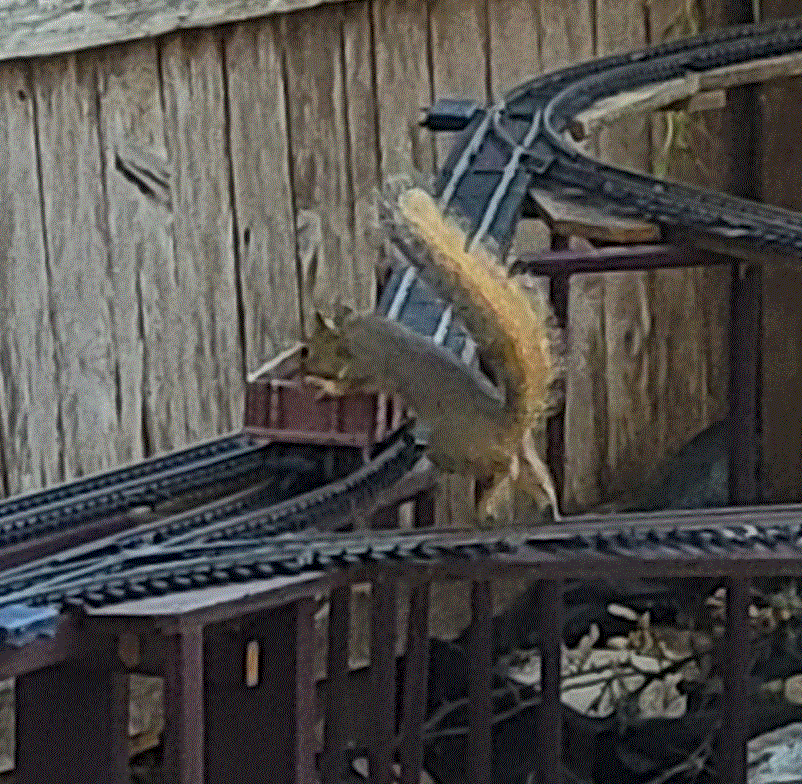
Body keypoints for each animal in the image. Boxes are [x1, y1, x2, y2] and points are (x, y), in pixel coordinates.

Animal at [303, 184, 562, 525]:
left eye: (308, 349)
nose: (302, 366)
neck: (350, 334)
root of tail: (509, 422)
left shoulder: (366, 363)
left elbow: (352, 385)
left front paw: (324, 386)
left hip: (455, 446)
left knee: (507, 468)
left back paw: (489, 501)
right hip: (518, 449)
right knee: (536, 476)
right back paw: (552, 508)